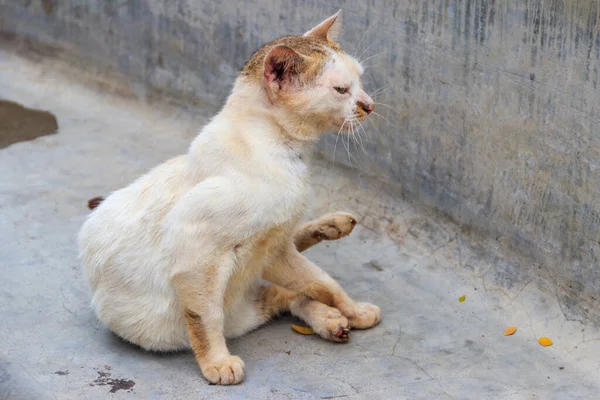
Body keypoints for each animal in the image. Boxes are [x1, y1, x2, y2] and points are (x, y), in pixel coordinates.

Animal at [78, 10, 380, 386]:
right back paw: (329, 316)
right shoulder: (197, 256)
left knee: (295, 282)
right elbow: (206, 318)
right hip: (238, 296)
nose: (370, 105)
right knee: (280, 296)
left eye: (360, 81)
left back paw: (332, 235)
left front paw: (353, 309)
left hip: (265, 261)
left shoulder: (274, 247)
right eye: (341, 90)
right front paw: (217, 364)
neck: (283, 153)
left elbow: (325, 282)